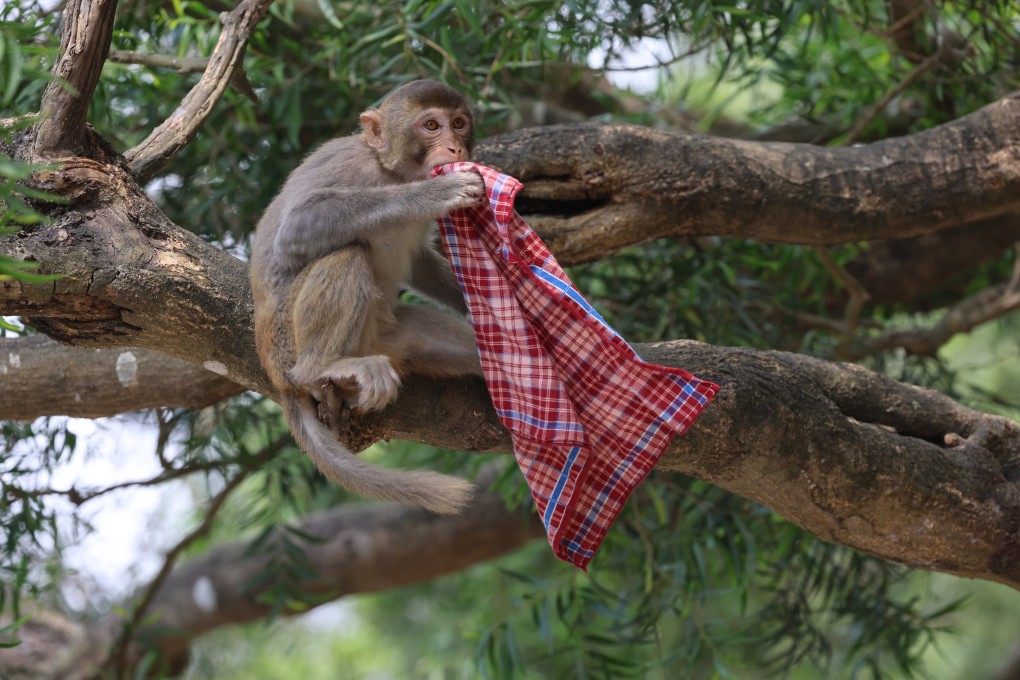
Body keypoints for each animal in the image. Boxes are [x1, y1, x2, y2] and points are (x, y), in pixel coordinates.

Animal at [249, 80, 486, 514]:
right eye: (431, 125)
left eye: (459, 123)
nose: (455, 148)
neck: (390, 171)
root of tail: (276, 375)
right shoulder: (347, 165)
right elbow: (296, 229)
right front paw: (432, 192)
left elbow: (419, 263)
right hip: (290, 344)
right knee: (347, 252)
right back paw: (320, 368)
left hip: (391, 337)